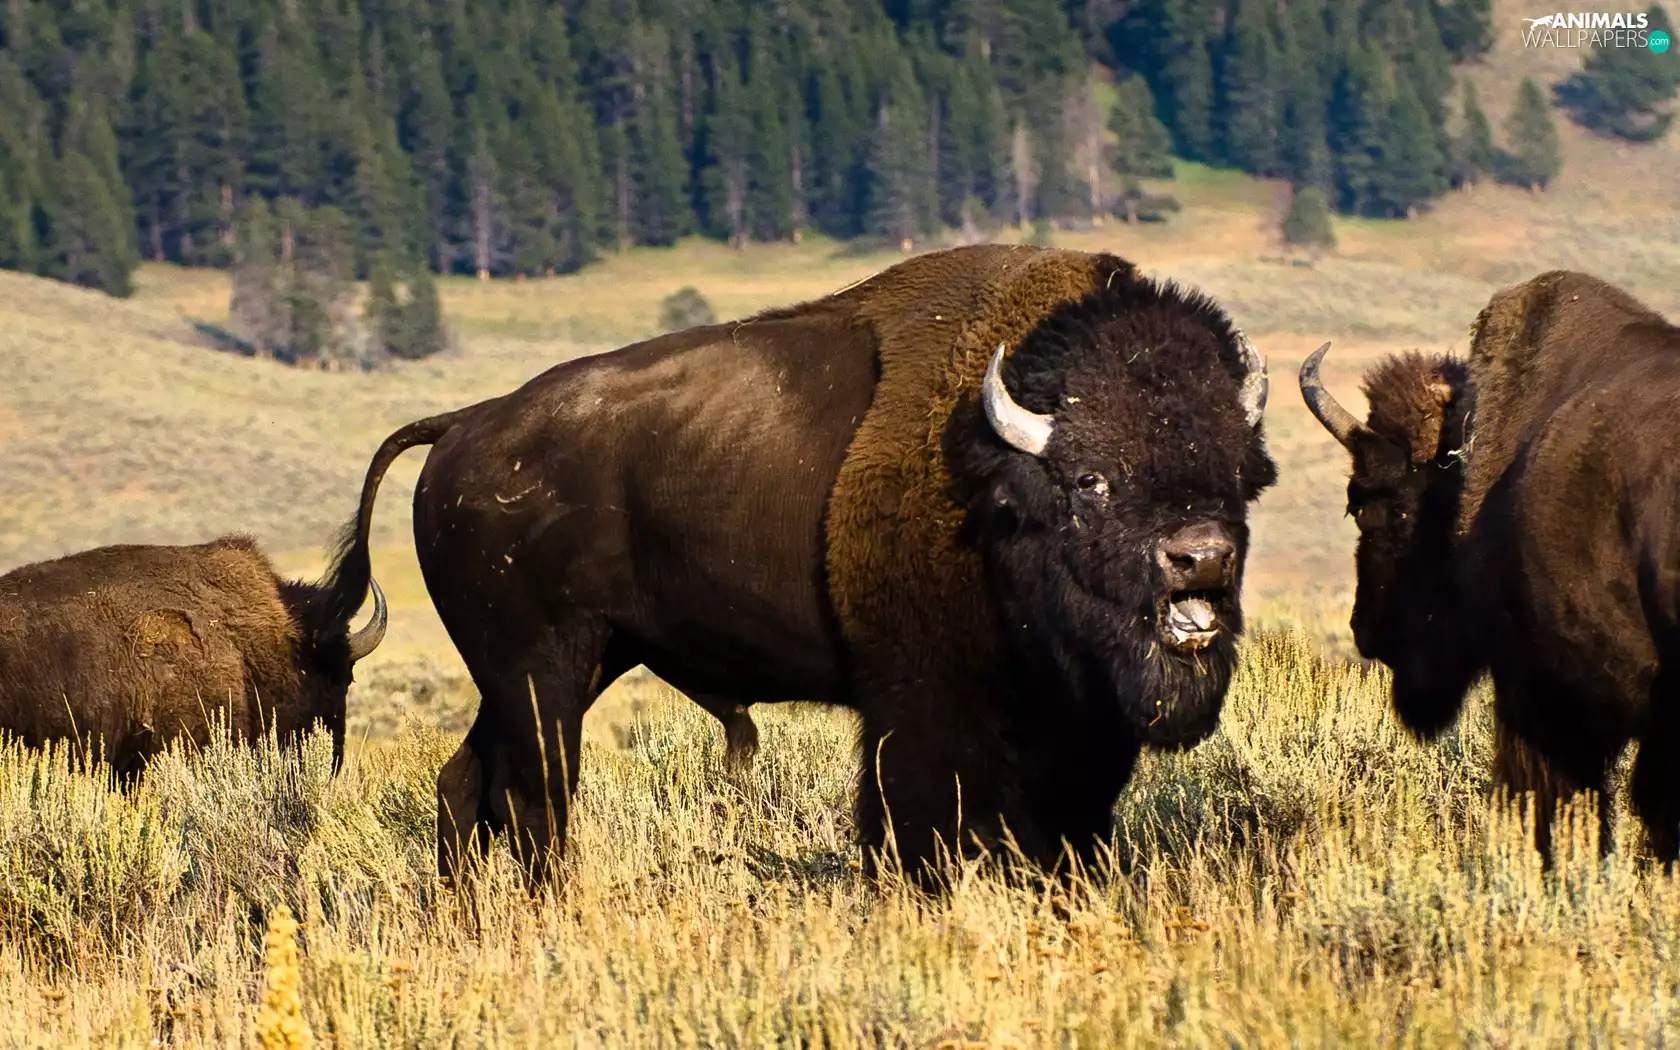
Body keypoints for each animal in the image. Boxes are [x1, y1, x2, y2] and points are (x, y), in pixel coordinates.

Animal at [337, 244, 1275, 884]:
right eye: (1091, 478)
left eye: (1238, 472)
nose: (1200, 556)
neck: (995, 482)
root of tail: (465, 424)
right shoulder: (922, 707)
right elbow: (920, 824)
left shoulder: (1080, 727)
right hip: (542, 672)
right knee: (533, 798)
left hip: (570, 664)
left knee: (466, 783)